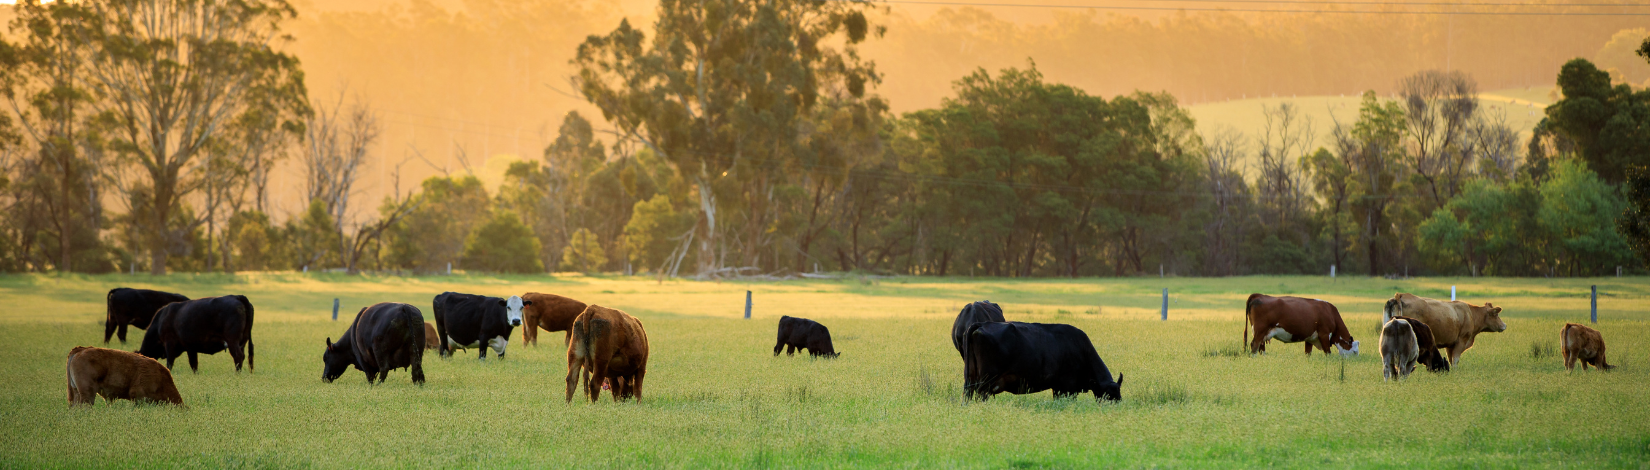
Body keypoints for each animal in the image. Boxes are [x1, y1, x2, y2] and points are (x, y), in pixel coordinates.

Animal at [963, 321, 1122, 402]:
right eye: (1109, 396)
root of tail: (982, 325)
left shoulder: (1058, 387)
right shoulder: (1068, 387)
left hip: (970, 378)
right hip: (986, 381)